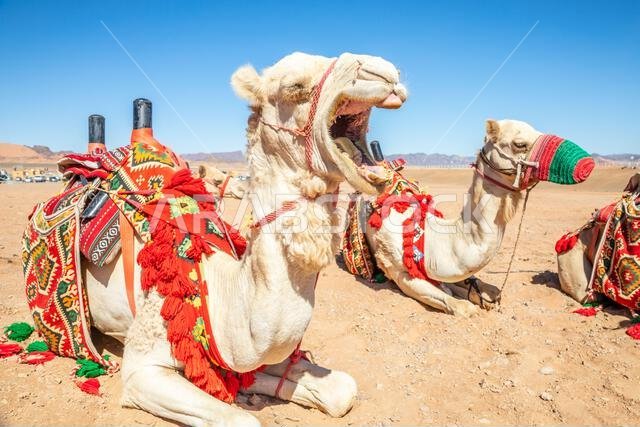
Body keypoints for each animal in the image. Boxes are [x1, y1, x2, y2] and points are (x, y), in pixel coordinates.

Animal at [82, 52, 406, 426]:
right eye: (294, 86)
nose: (383, 71)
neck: (215, 289)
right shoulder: (142, 366)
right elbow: (242, 419)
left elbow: (341, 389)